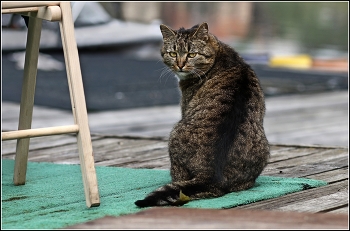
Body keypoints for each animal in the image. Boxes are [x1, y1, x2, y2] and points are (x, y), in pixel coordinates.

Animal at [135, 22, 270, 208]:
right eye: (173, 53)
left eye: (192, 54)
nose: (180, 64)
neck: (220, 54)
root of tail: (210, 174)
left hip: (174, 134)